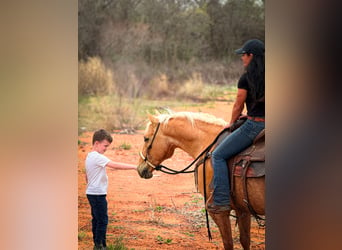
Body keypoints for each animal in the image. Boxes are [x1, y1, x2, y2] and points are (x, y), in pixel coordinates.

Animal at [138, 112, 266, 250]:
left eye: (146, 138)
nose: (139, 168)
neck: (208, 143)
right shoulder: (243, 209)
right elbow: (245, 240)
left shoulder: (218, 211)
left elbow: (228, 243)